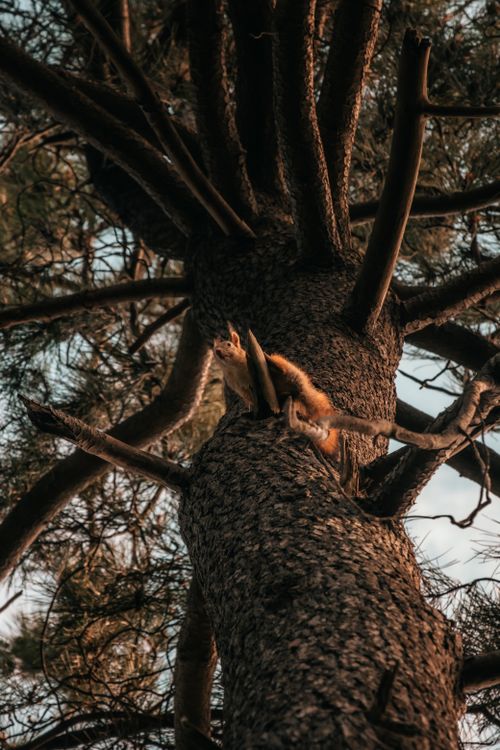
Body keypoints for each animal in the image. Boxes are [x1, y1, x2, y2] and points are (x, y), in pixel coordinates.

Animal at [213, 329, 339, 457]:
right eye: (214, 349)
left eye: (229, 344)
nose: (218, 351)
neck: (232, 369)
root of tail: (300, 389)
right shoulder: (240, 389)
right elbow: (250, 402)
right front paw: (249, 413)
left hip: (287, 370)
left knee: (283, 370)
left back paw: (270, 361)